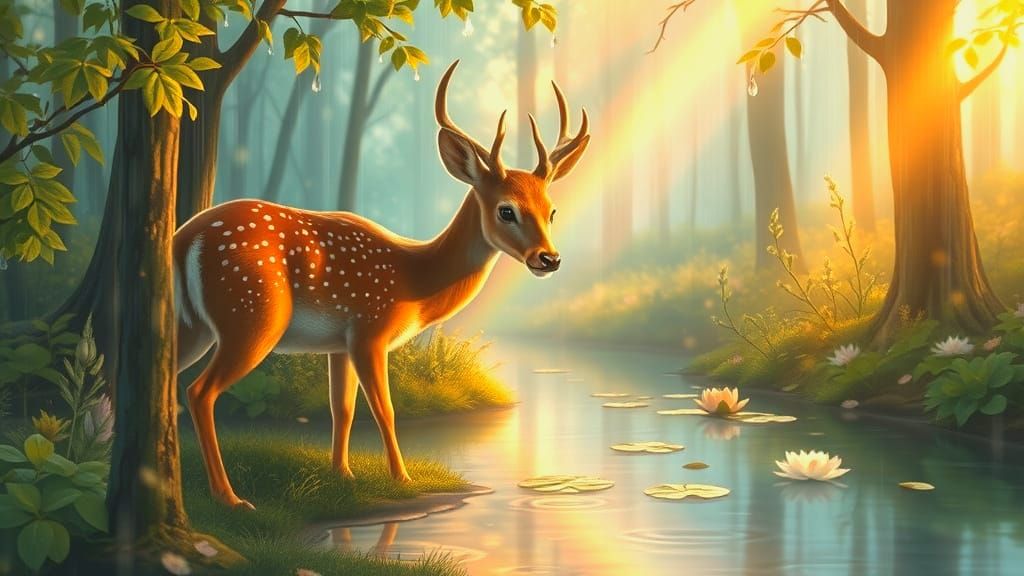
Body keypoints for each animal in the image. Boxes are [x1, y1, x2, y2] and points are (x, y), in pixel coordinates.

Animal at [173, 60, 590, 509]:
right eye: (506, 210)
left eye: (551, 210)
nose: (549, 258)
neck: (413, 277)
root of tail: (183, 236)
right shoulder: (370, 330)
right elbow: (385, 409)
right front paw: (402, 479)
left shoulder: (339, 344)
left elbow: (343, 408)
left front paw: (343, 474)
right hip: (253, 315)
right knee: (199, 392)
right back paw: (229, 497)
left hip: (194, 325)